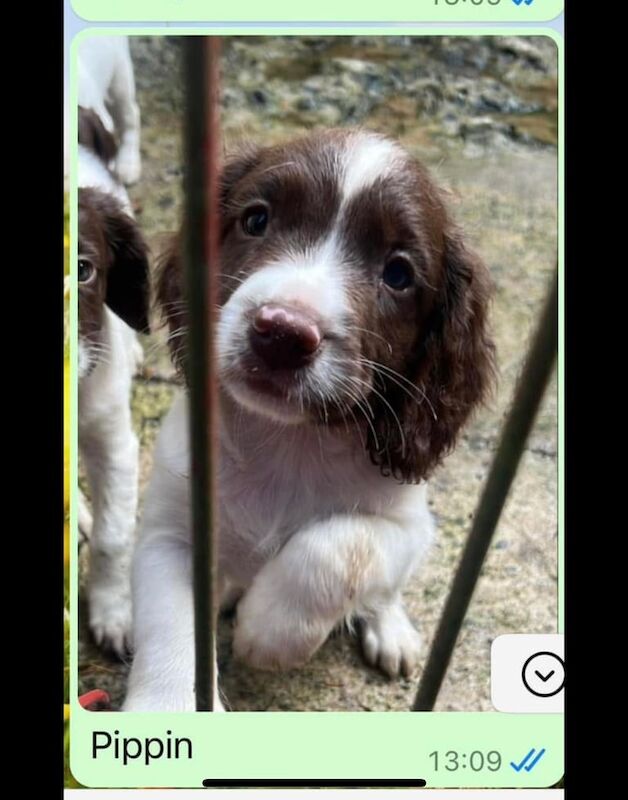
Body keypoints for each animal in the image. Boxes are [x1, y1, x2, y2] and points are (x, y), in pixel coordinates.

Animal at [122, 131, 496, 712]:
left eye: (398, 274)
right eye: (256, 220)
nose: (282, 332)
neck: (286, 440)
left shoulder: (409, 526)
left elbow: (337, 546)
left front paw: (269, 630)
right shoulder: (171, 530)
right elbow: (170, 622)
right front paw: (171, 707)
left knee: (381, 588)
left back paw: (389, 629)